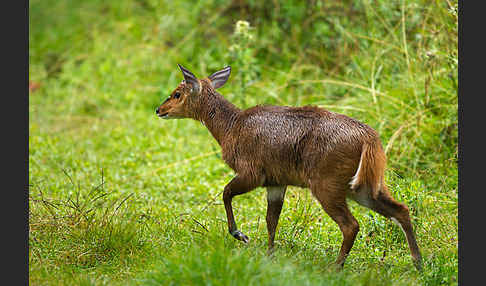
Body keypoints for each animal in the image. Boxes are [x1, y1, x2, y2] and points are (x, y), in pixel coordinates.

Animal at [156, 65, 422, 270]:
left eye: (177, 93)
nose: (159, 110)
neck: (230, 128)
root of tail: (370, 138)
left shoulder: (252, 172)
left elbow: (226, 193)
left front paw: (241, 235)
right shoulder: (276, 181)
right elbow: (271, 219)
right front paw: (269, 255)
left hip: (327, 183)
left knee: (351, 225)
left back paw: (336, 267)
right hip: (364, 185)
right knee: (401, 209)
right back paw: (418, 263)